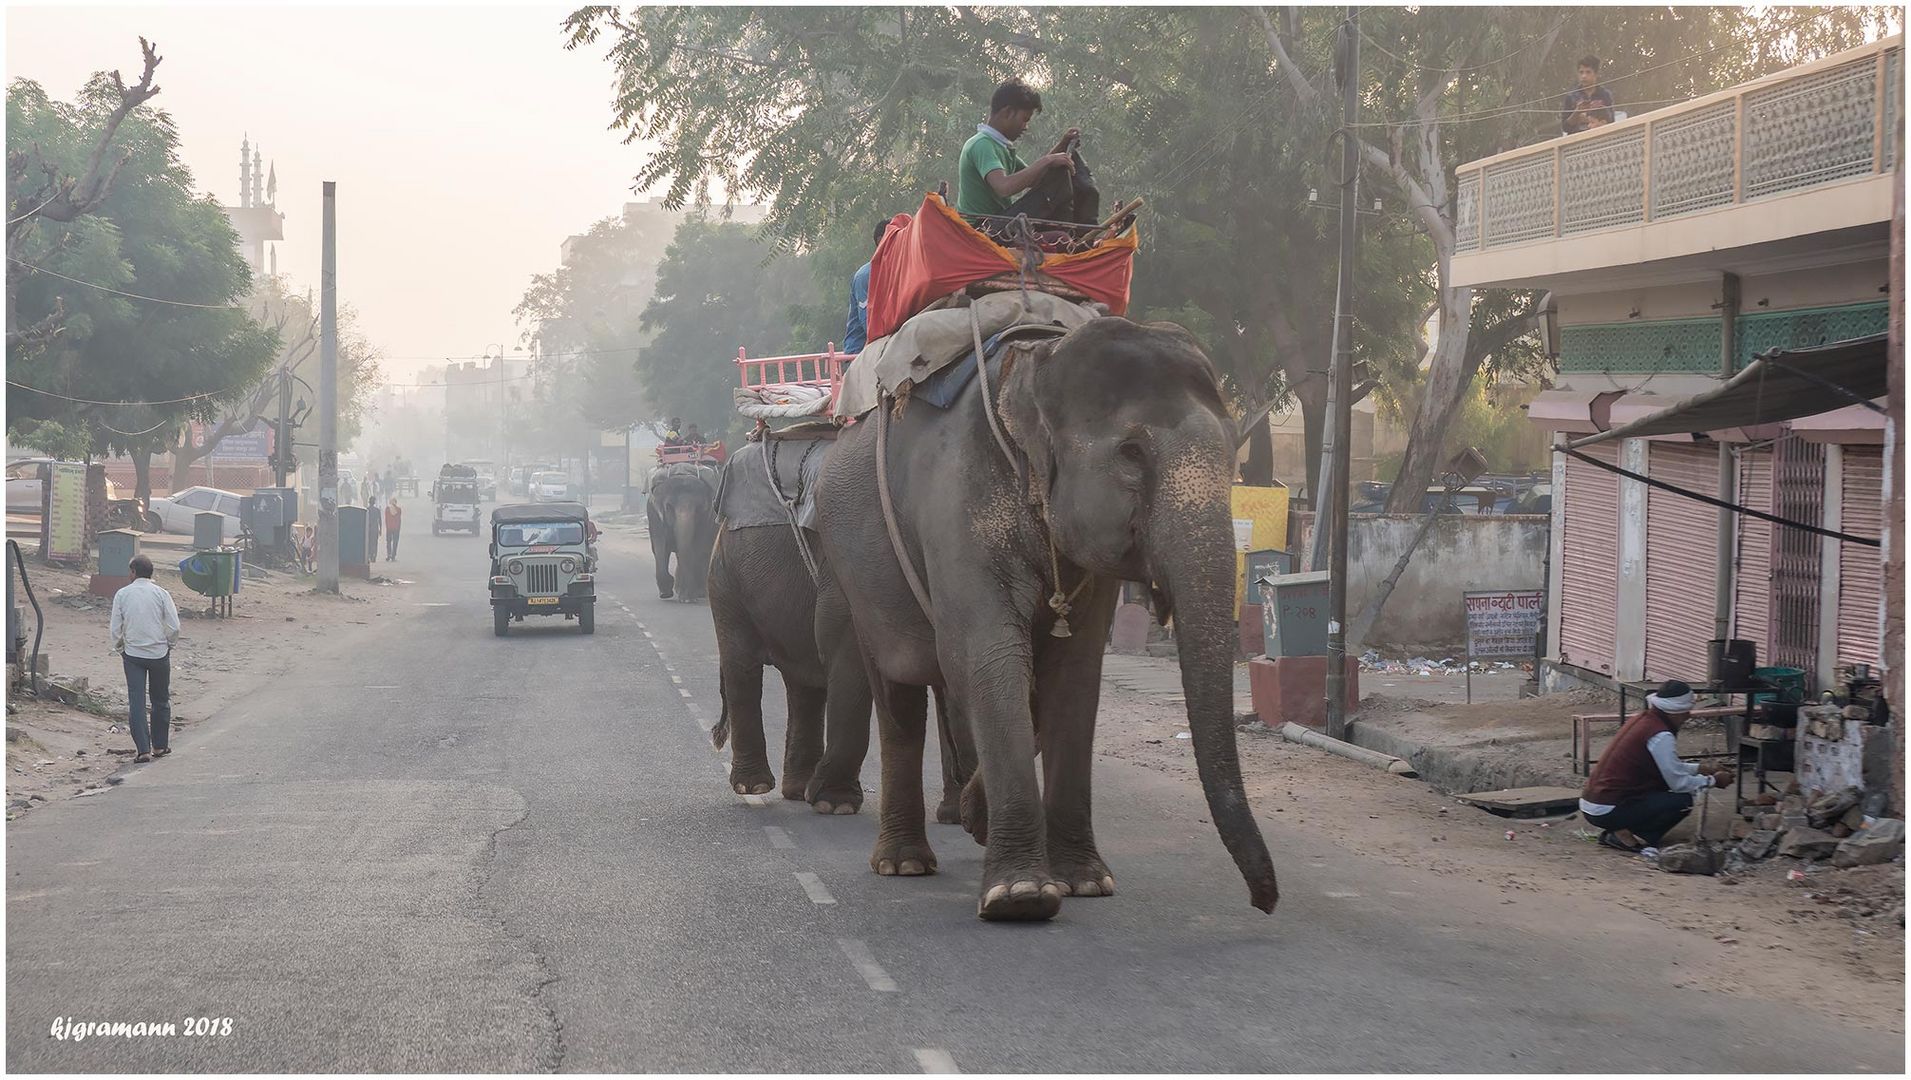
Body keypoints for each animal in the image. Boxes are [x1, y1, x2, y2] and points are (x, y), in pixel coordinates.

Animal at [649, 460, 722, 604]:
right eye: (669, 507)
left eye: (699, 508)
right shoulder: (654, 515)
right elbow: (660, 548)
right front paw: (666, 593)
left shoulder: (708, 518)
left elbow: (697, 547)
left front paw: (688, 598)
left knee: (704, 552)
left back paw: (700, 592)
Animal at [703, 433, 970, 821]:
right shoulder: (847, 567)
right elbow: (847, 651)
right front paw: (835, 804)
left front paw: (958, 815)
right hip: (726, 580)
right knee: (744, 667)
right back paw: (754, 787)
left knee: (803, 684)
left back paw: (797, 789)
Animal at [814, 311, 1276, 917]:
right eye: (1132, 453)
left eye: (1230, 453)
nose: (1264, 901)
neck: (1039, 360)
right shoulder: (956, 499)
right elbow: (988, 656)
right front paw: (1021, 897)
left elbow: (1073, 676)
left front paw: (1084, 881)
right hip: (857, 571)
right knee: (899, 693)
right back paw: (904, 863)